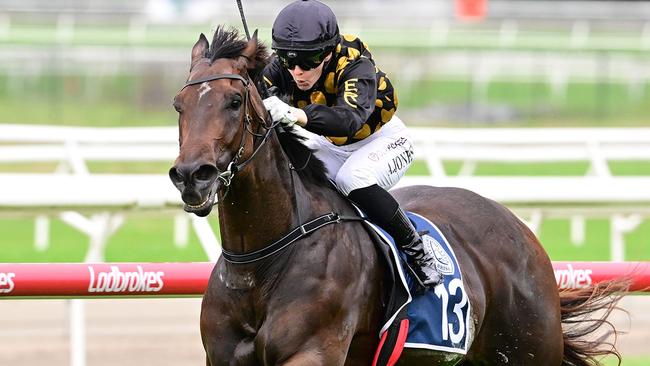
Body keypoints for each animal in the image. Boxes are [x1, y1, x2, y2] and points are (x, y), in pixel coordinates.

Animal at [170, 27, 624, 366]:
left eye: (234, 100)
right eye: (179, 104)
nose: (192, 176)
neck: (261, 264)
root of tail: (519, 229)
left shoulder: (312, 351)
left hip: (529, 347)